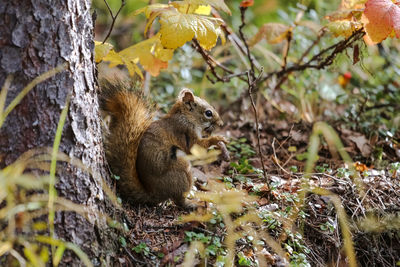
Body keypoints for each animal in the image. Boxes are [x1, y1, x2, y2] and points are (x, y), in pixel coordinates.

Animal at [98, 78, 227, 208]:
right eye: (208, 113)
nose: (221, 124)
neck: (186, 116)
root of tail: (153, 194)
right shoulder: (185, 131)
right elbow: (196, 148)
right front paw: (217, 139)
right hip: (180, 170)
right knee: (179, 201)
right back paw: (193, 203)